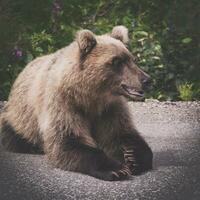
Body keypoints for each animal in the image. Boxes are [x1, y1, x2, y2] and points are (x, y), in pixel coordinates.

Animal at [0, 25, 152, 181]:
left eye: (132, 59)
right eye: (116, 61)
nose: (146, 80)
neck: (90, 96)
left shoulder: (110, 108)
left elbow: (122, 132)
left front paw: (132, 157)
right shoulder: (64, 103)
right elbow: (67, 141)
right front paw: (116, 169)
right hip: (20, 116)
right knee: (13, 133)